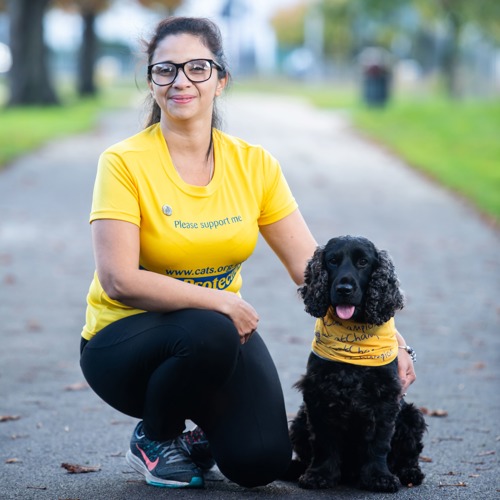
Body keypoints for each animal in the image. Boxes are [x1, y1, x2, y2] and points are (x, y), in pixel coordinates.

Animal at [290, 237, 426, 492]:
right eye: (333, 261)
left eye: (363, 262)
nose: (344, 289)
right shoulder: (319, 395)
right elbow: (323, 442)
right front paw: (319, 475)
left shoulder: (385, 400)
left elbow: (379, 443)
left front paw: (380, 477)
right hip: (300, 420)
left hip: (412, 416)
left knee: (409, 455)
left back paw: (410, 472)